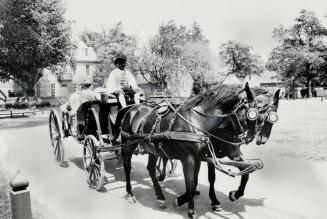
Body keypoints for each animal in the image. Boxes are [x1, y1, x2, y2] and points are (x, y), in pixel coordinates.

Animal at [114, 83, 258, 218]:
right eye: (252, 112)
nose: (250, 137)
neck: (196, 120)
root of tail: (131, 108)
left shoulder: (200, 157)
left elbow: (195, 182)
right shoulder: (188, 159)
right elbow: (190, 184)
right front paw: (191, 211)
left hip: (152, 149)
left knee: (150, 169)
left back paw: (160, 196)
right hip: (128, 144)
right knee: (127, 167)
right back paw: (130, 193)